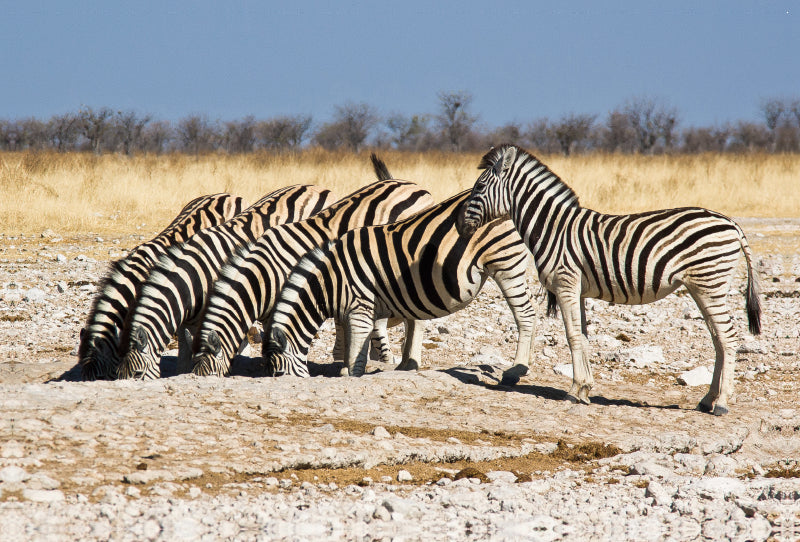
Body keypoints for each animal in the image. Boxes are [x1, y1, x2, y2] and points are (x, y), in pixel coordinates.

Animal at [266, 188, 536, 382]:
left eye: (278, 374)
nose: (276, 378)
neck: (331, 281)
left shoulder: (361, 307)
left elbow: (356, 356)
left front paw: (352, 376)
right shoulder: (353, 312)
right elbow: (353, 350)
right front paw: (346, 371)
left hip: (506, 263)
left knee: (525, 314)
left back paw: (516, 370)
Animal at [456, 144, 764, 416]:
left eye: (479, 188)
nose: (459, 226)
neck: (552, 228)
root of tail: (731, 222)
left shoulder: (566, 284)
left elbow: (571, 336)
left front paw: (574, 390)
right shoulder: (578, 290)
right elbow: (582, 336)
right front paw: (585, 389)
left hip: (709, 283)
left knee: (728, 337)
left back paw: (721, 403)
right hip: (702, 286)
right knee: (718, 339)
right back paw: (707, 400)